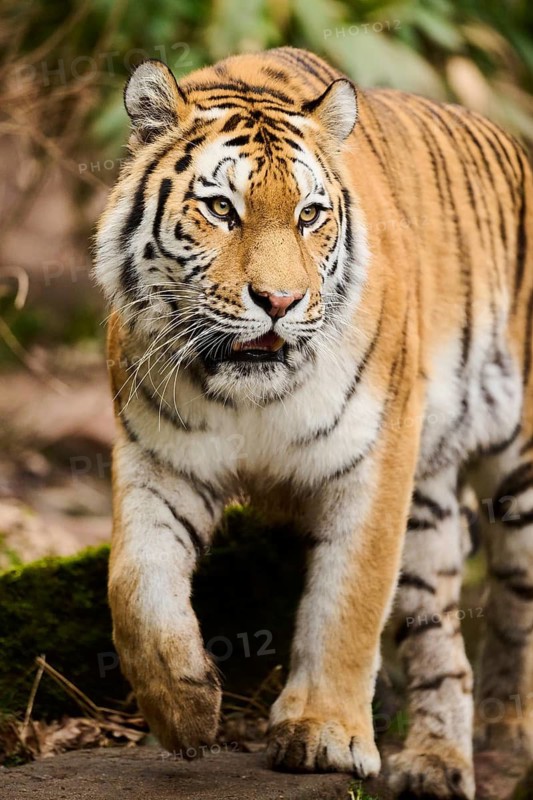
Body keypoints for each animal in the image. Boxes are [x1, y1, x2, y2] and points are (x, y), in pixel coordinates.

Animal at [94, 46, 533, 799]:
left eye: (308, 215)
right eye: (221, 209)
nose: (279, 300)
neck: (247, 397)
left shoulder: (376, 457)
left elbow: (349, 600)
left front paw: (325, 734)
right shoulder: (157, 457)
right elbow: (136, 584)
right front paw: (184, 707)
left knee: (517, 613)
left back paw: (506, 739)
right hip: (429, 503)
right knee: (441, 641)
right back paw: (436, 763)